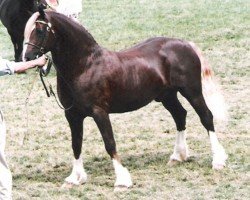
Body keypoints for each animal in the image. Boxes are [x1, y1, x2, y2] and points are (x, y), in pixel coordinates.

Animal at [22, 9, 228, 190]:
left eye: (39, 30)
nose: (27, 57)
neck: (85, 66)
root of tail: (184, 43)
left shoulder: (100, 112)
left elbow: (109, 143)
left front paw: (122, 180)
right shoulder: (72, 115)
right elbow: (76, 144)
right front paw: (74, 178)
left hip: (192, 92)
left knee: (206, 117)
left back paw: (218, 160)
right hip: (167, 96)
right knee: (180, 116)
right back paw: (178, 156)